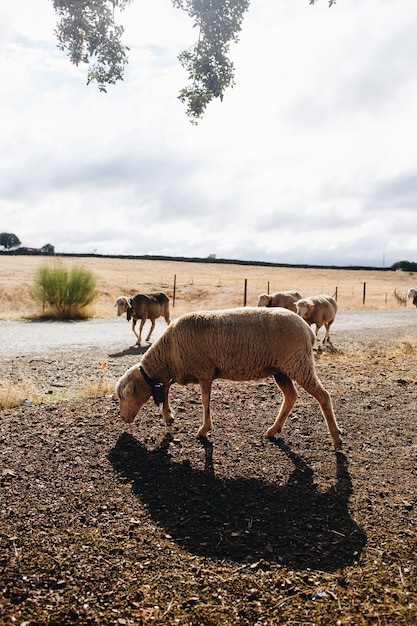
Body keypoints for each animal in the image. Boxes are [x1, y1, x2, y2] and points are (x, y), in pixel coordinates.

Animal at [114, 306, 342, 448]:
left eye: (124, 395)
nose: (123, 418)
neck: (167, 352)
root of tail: (307, 329)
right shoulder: (179, 371)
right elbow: (166, 389)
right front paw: (168, 416)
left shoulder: (204, 371)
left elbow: (205, 401)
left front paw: (204, 430)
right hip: (282, 370)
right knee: (291, 396)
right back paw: (273, 430)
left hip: (298, 363)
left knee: (323, 396)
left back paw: (336, 437)